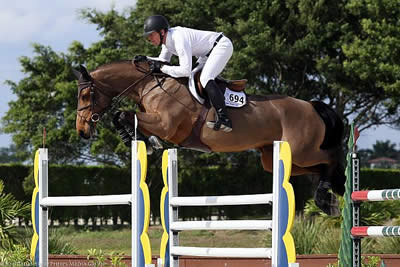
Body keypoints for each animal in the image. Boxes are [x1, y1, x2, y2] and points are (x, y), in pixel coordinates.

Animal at [73, 60, 346, 216]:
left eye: (85, 95)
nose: (82, 130)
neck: (150, 85)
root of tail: (310, 106)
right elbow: (125, 117)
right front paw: (142, 140)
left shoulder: (167, 125)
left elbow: (122, 113)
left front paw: (143, 140)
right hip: (275, 158)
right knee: (319, 167)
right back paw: (330, 195)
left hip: (301, 150)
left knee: (331, 156)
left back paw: (331, 193)